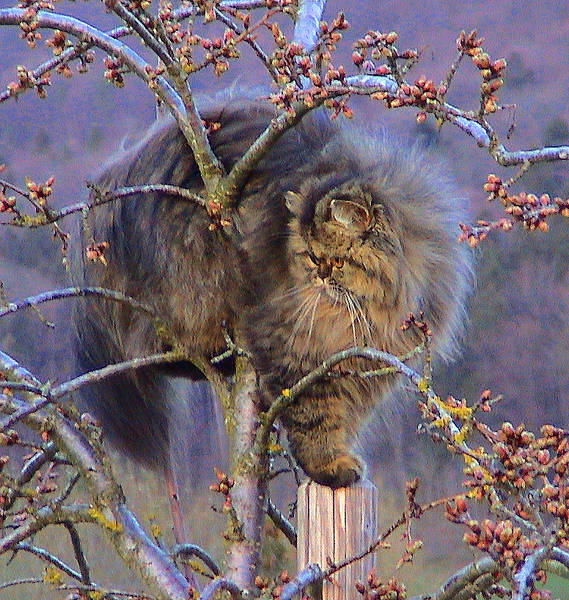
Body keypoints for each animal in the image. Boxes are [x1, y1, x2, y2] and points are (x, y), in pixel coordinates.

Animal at [73, 94, 470, 488]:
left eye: (335, 262)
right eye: (311, 257)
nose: (319, 278)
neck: (371, 310)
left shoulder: (366, 365)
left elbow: (345, 415)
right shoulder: (294, 348)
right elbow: (314, 417)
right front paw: (328, 466)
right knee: (163, 348)